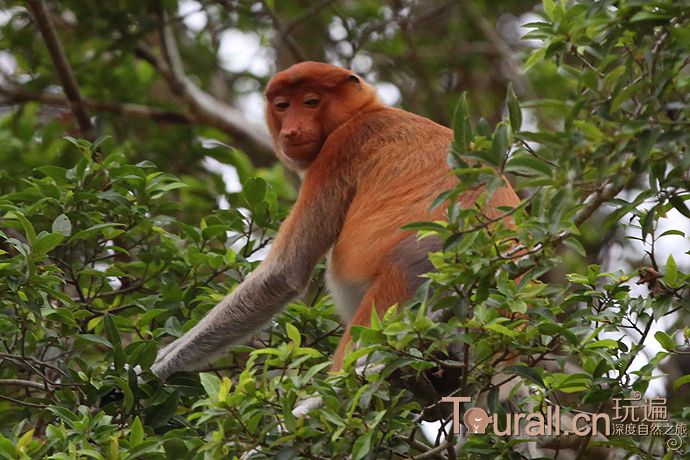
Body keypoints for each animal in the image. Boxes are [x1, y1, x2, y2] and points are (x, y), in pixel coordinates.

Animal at [150, 61, 516, 380]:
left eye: (311, 102)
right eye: (283, 105)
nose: (292, 131)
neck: (365, 112)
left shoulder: (337, 152)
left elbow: (282, 274)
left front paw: (158, 366)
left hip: (405, 292)